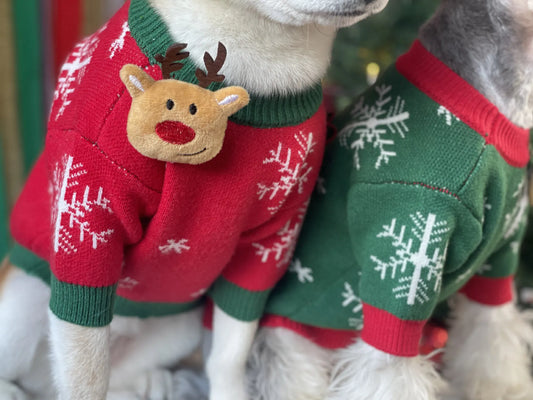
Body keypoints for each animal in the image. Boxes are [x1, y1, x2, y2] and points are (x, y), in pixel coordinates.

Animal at [0, 0, 386, 400]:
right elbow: (86, 377)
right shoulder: (89, 236)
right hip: (19, 310)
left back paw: (153, 382)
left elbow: (228, 358)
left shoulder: (266, 248)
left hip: (180, 323)